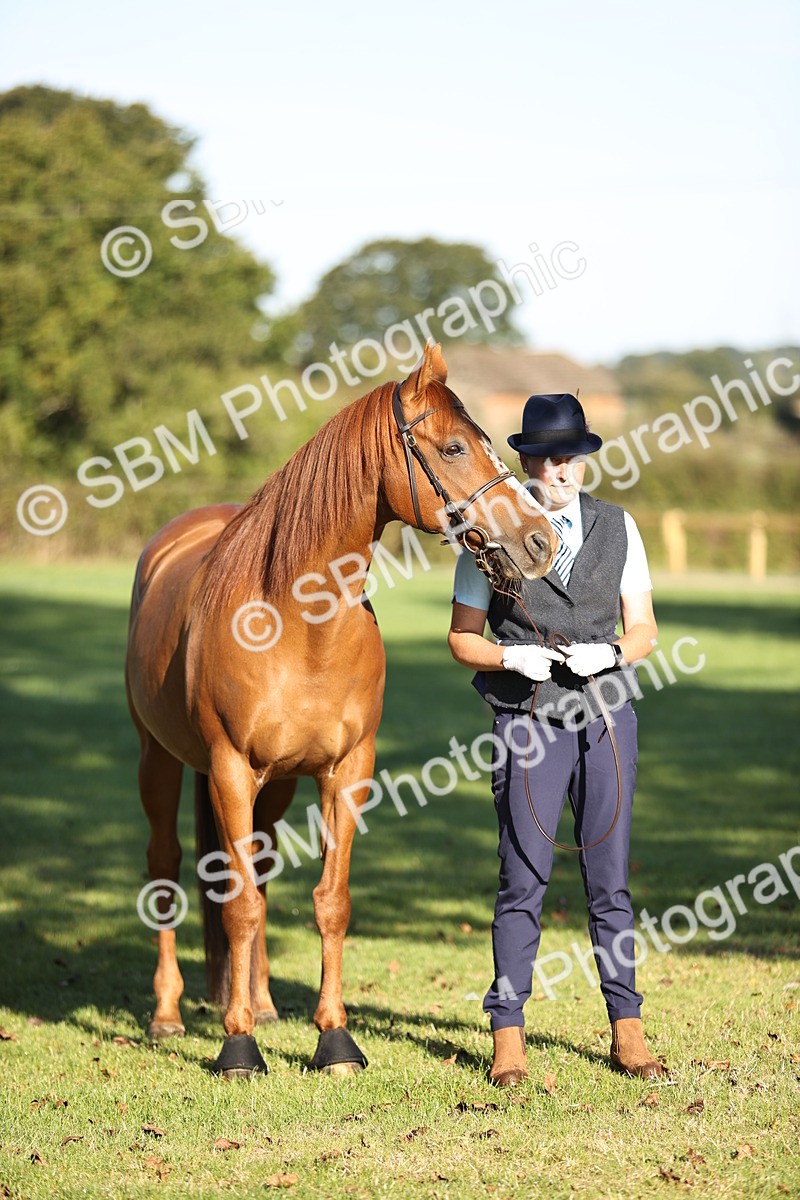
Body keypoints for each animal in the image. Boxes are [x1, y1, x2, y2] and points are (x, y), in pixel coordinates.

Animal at [125, 342, 556, 1077]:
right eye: (452, 447)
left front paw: (333, 1039)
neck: (298, 625)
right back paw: (168, 1014)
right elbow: (238, 907)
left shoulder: (346, 771)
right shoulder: (230, 769)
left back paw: (263, 1003)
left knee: (261, 870)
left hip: (274, 786)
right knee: (166, 867)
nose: (539, 542)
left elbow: (329, 903)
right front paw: (238, 1047)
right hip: (162, 761)